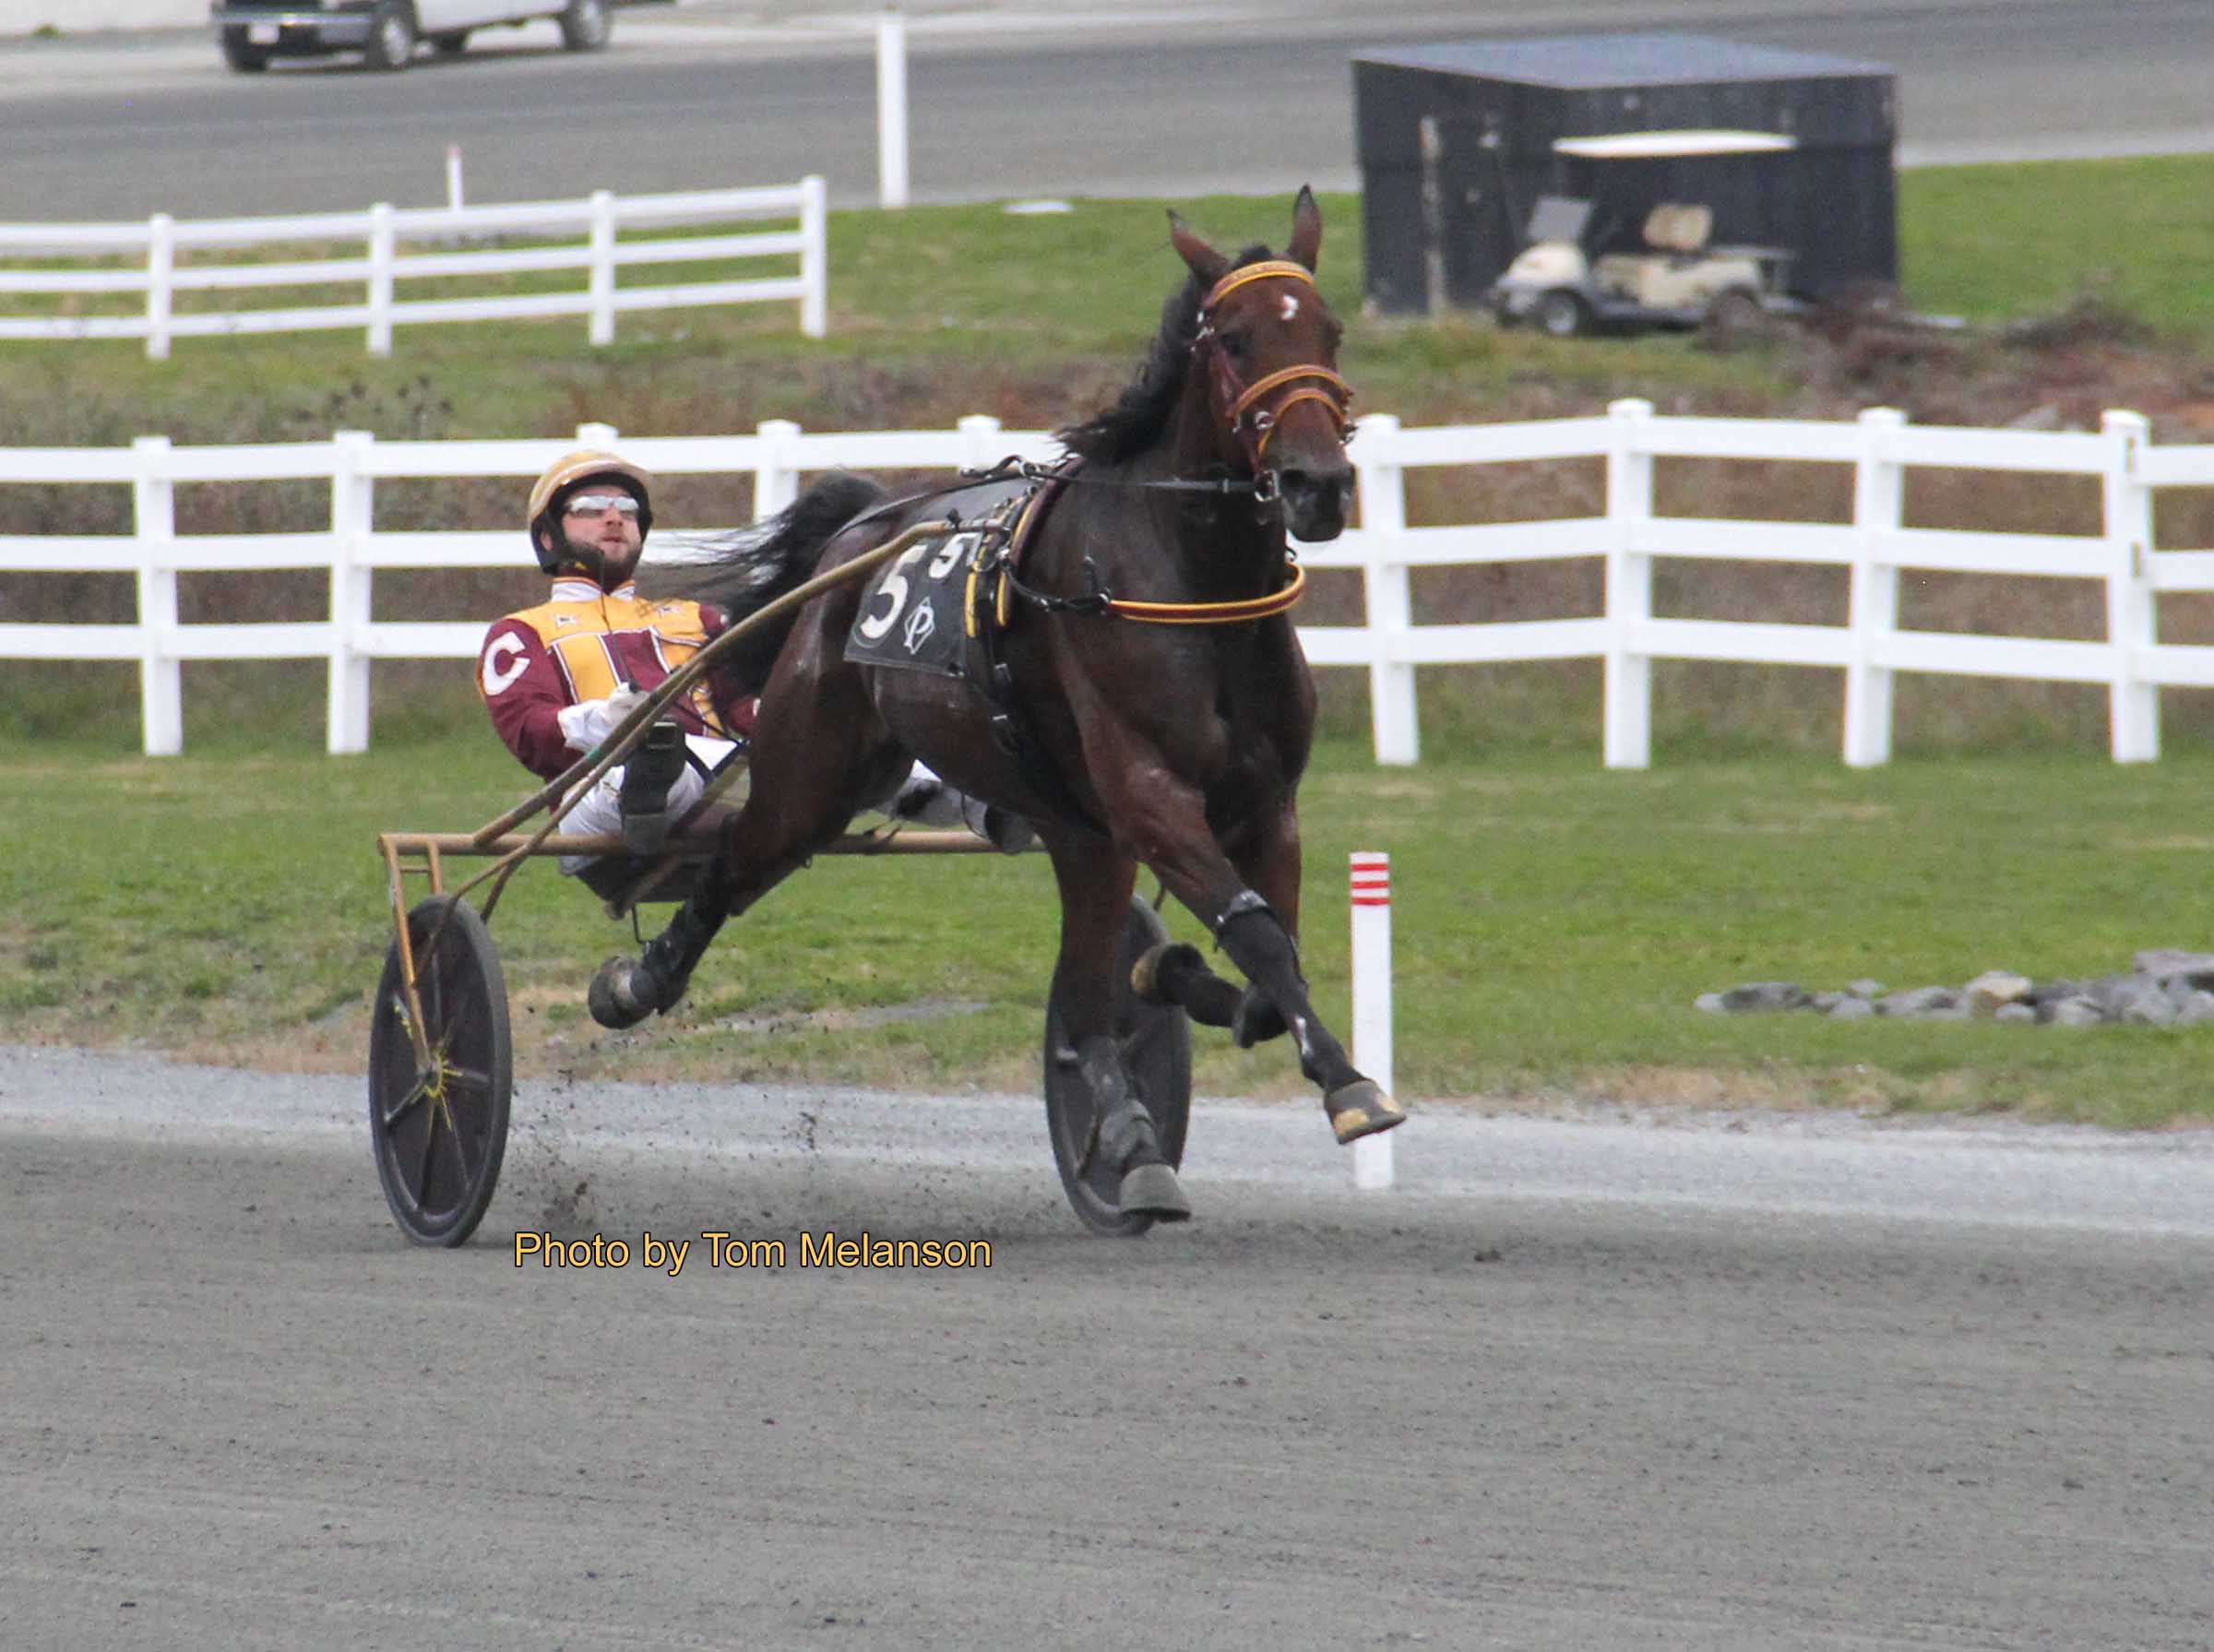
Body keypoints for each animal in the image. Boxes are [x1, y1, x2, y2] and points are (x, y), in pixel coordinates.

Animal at [593, 189, 1404, 1223]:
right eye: (1233, 340)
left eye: (1330, 331)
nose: (1317, 483)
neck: (1185, 584)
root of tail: (858, 535)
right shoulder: (1151, 794)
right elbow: (1258, 932)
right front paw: (1349, 1085)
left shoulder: (1263, 806)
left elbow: (1271, 956)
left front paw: (1179, 976)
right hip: (812, 775)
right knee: (736, 861)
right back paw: (640, 979)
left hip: (1072, 829)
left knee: (1088, 992)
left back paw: (1130, 1119)